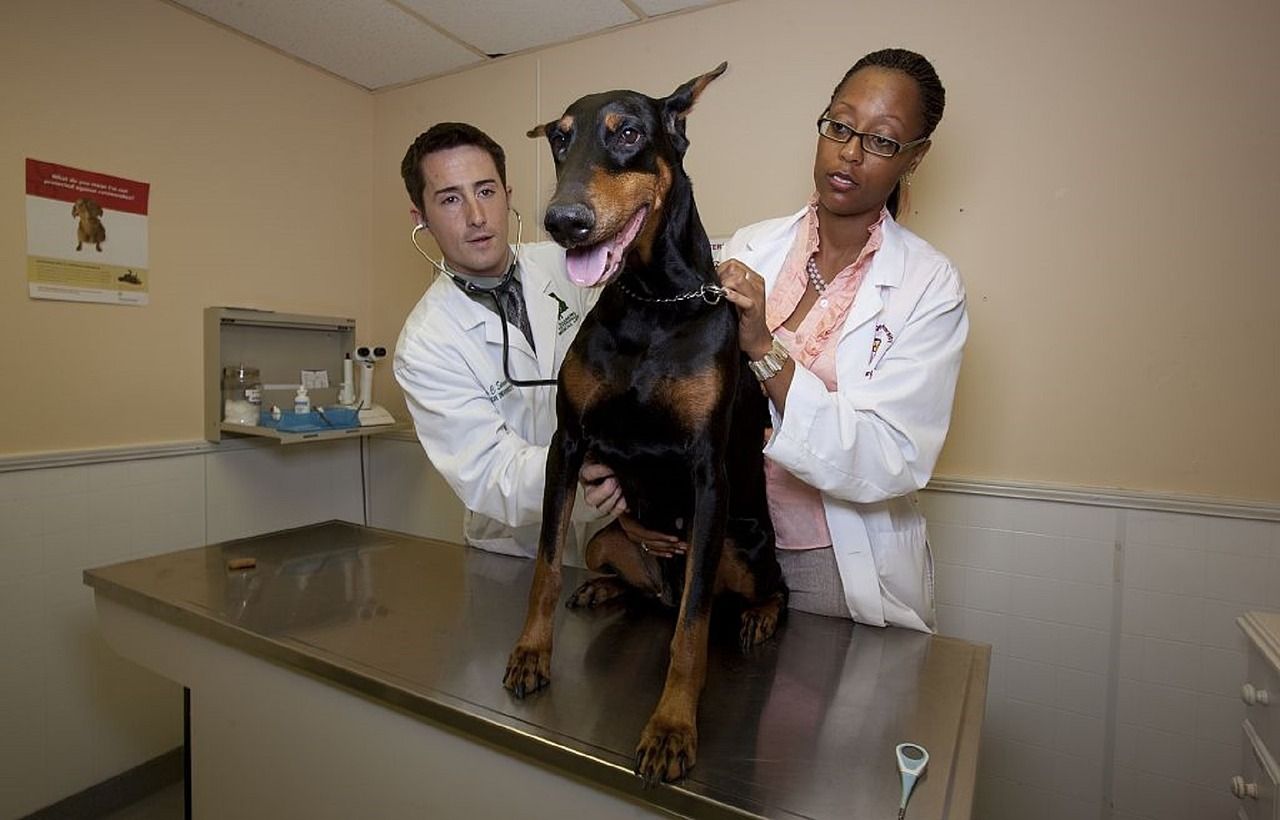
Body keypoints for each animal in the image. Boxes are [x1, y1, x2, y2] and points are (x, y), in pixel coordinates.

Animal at [501, 62, 783, 777]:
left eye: (628, 133)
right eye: (560, 140)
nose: (563, 221)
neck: (655, 300)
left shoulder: (708, 473)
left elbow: (693, 627)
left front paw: (673, 726)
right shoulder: (568, 445)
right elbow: (545, 566)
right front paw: (531, 653)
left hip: (741, 545)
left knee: (746, 595)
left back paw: (760, 616)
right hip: (611, 538)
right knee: (643, 591)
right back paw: (607, 590)